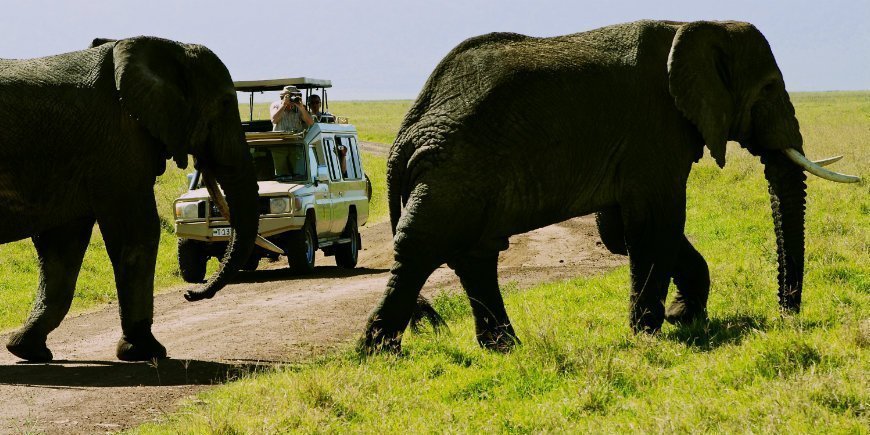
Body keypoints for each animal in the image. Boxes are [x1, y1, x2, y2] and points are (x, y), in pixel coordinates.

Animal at [0, 35, 260, 362]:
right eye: (225, 103)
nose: (190, 293)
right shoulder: (118, 143)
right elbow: (137, 233)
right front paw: (147, 352)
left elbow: (61, 249)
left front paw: (27, 349)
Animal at [362, 21, 860, 354]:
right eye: (768, 89)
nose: (787, 314)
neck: (692, 25)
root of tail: (406, 130)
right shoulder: (653, 129)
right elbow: (655, 225)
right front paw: (651, 333)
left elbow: (625, 231)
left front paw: (682, 318)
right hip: (452, 171)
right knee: (423, 250)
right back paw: (378, 354)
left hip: (460, 174)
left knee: (474, 255)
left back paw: (504, 349)